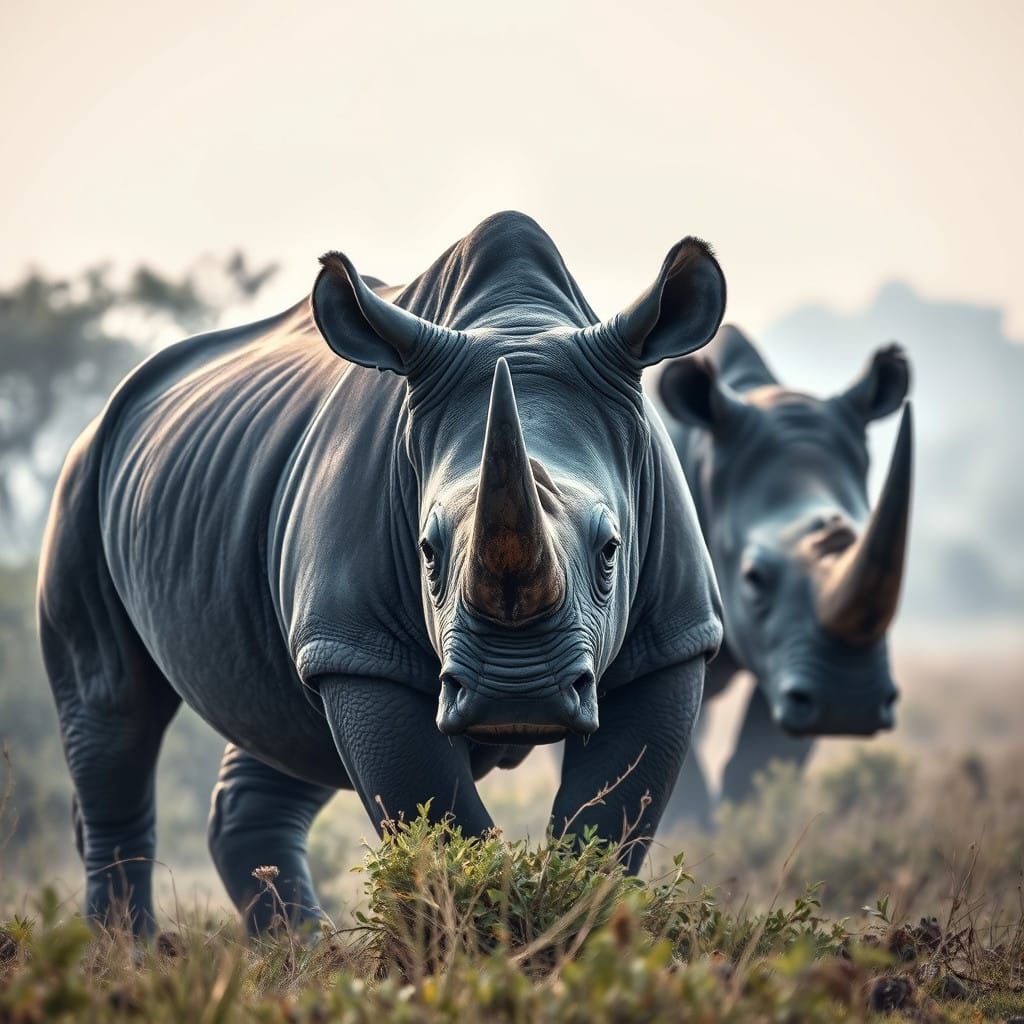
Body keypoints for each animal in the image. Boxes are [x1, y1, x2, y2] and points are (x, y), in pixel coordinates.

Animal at [38, 212, 727, 934]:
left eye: (611, 550)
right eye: (427, 551)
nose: (518, 698)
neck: (518, 323)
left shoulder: (673, 637)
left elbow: (608, 817)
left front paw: (573, 929)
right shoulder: (362, 645)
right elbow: (436, 811)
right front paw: (484, 935)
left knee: (287, 719)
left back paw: (302, 948)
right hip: (80, 481)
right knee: (113, 706)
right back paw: (133, 949)